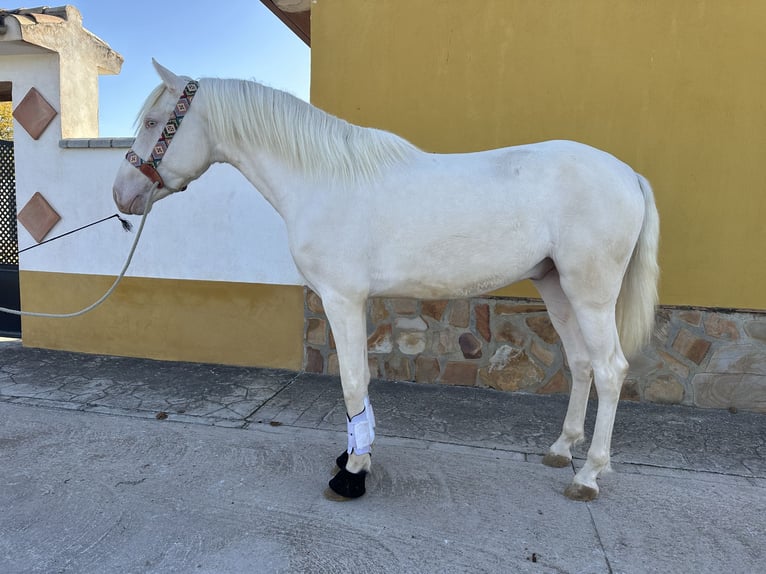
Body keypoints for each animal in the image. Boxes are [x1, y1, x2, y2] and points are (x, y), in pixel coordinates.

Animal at [112, 63, 660, 502]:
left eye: (155, 123)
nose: (121, 195)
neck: (323, 180)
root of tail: (628, 173)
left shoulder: (341, 299)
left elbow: (353, 382)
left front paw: (353, 473)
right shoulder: (353, 301)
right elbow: (359, 383)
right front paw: (356, 455)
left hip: (590, 294)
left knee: (610, 370)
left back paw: (588, 476)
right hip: (556, 289)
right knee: (583, 365)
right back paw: (561, 449)